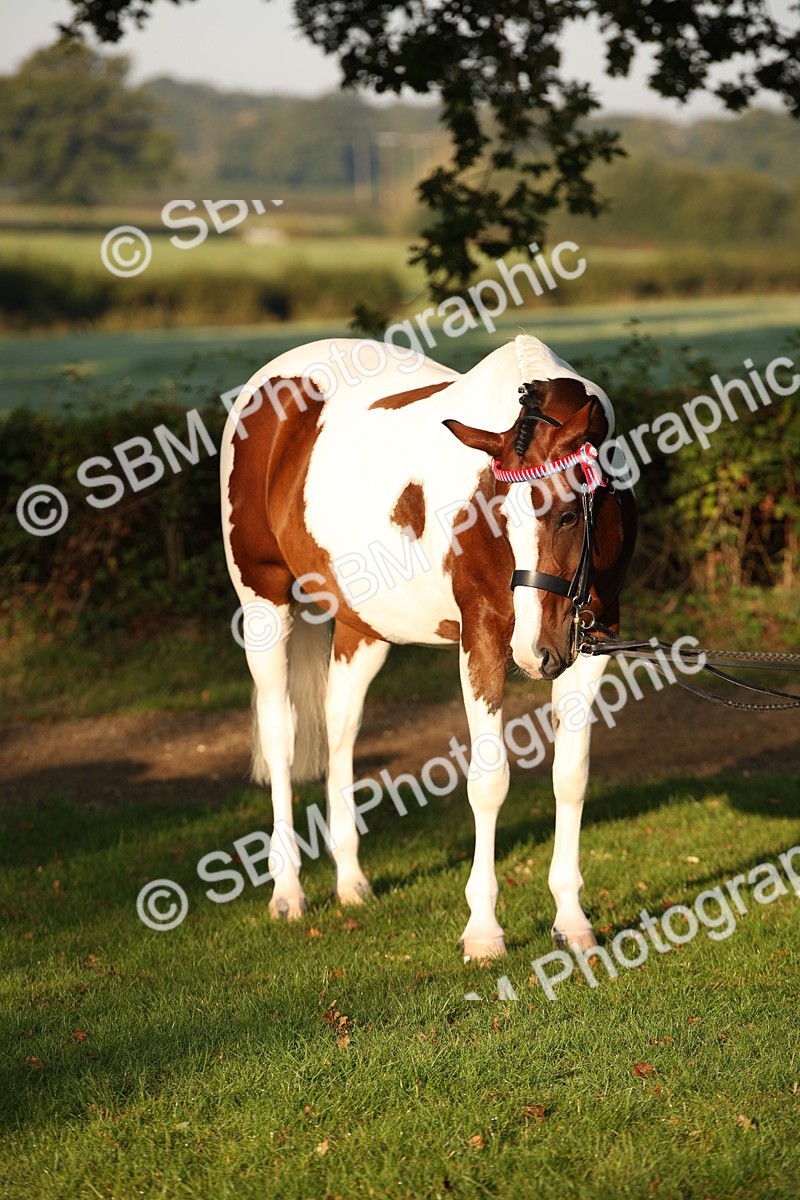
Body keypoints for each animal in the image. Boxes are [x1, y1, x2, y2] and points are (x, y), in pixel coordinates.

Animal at [220, 333, 637, 960]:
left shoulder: (593, 642)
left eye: (567, 515)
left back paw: (351, 881)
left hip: (363, 627)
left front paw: (572, 919)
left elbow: (571, 775)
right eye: (498, 514)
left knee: (340, 724)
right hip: (264, 604)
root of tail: (265, 386)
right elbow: (489, 782)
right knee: (281, 737)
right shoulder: (483, 639)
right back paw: (288, 892)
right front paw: (484, 932)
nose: (535, 655)